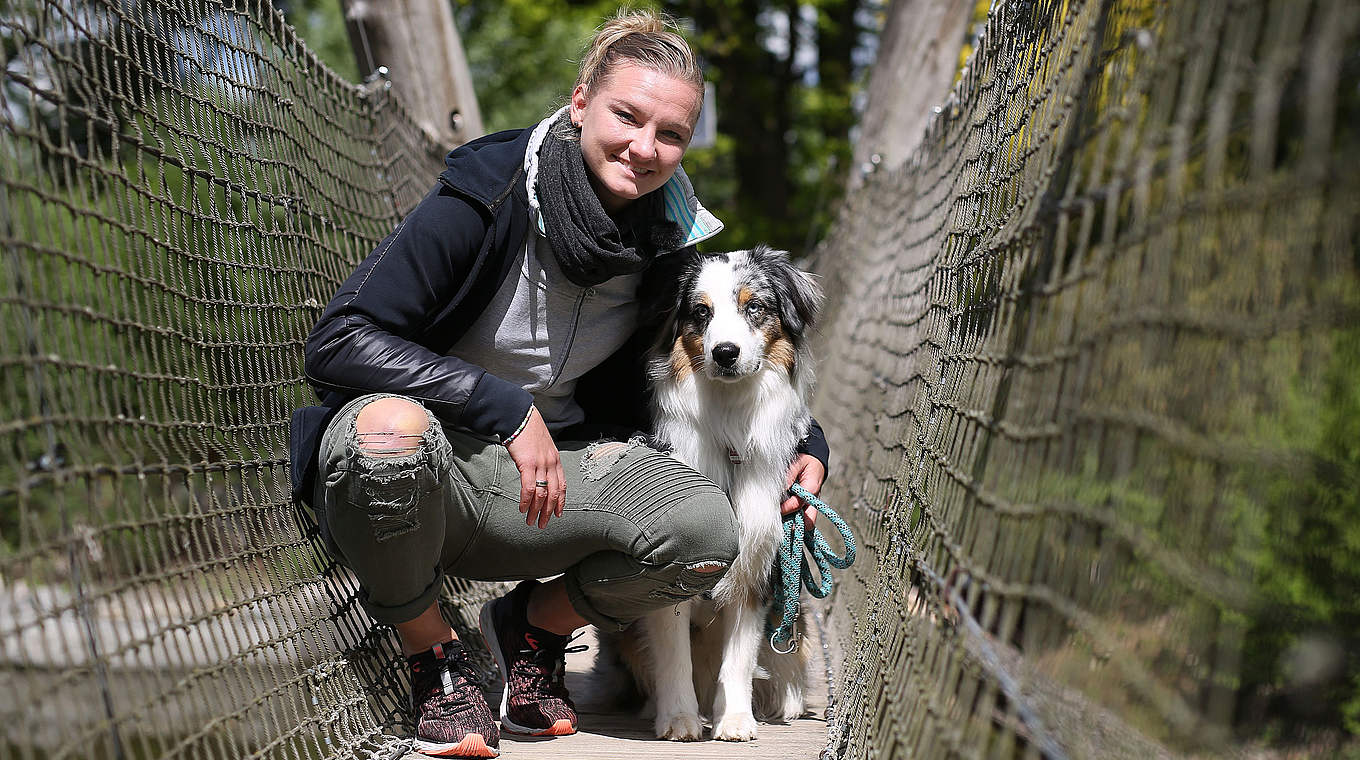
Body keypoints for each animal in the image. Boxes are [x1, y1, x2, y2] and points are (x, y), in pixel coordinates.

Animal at [598, 244, 826, 745]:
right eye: (701, 312)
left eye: (753, 307)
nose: (725, 353)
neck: (728, 420)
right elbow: (673, 654)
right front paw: (679, 720)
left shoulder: (758, 559)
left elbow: (738, 660)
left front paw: (736, 720)